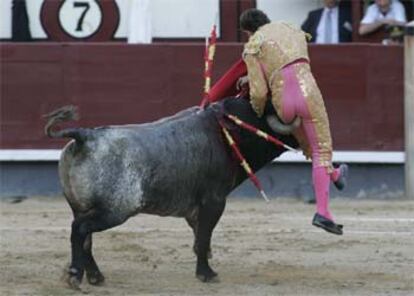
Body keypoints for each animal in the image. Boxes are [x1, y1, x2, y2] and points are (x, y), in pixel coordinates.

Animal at [44, 96, 298, 290]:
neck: (225, 132)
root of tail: (85, 136)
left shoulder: (196, 209)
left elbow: (199, 236)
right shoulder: (214, 201)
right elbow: (204, 237)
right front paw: (206, 273)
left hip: (80, 207)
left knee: (85, 238)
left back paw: (96, 277)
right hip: (114, 210)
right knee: (80, 230)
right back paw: (75, 276)